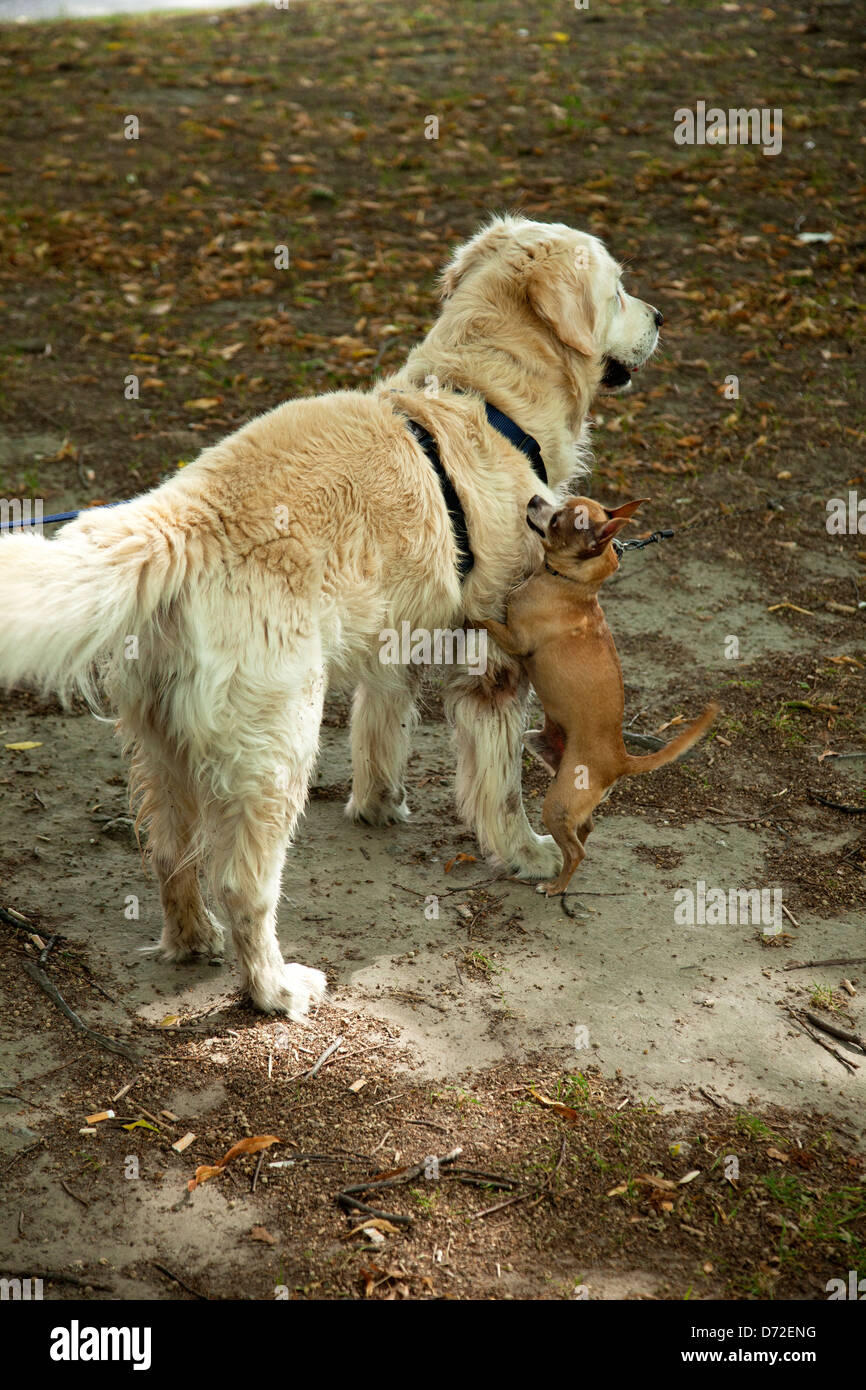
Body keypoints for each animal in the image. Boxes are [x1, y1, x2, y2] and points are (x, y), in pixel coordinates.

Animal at [480, 494, 717, 895]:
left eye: (556, 520)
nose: (535, 497)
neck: (568, 585)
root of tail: (621, 758)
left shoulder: (514, 639)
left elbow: (485, 620)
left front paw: (465, 610)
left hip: (556, 803)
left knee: (577, 850)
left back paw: (556, 886)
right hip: (542, 751)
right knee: (585, 828)